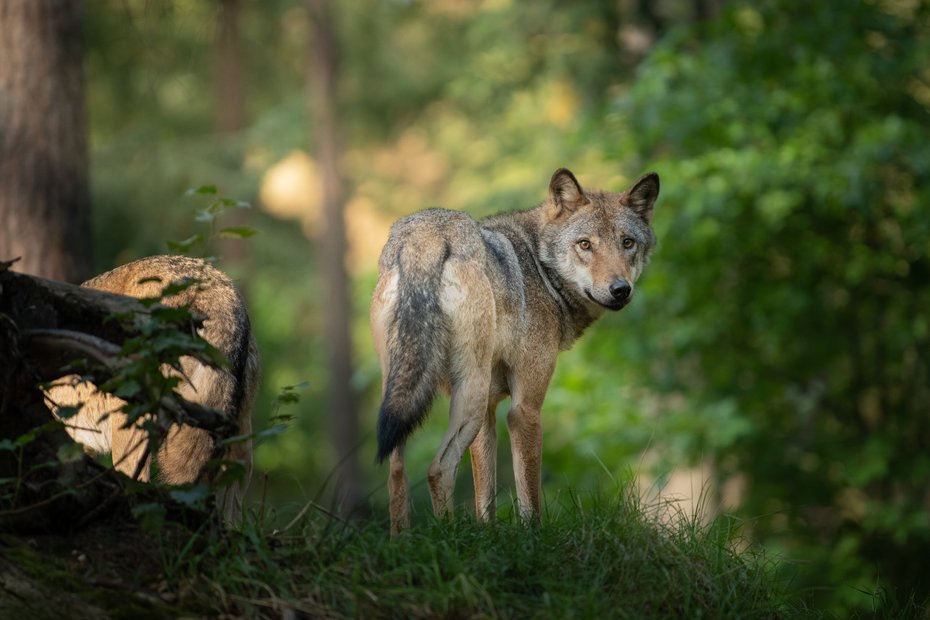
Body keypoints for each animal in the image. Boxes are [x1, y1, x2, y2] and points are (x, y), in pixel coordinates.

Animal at [370, 167, 660, 532]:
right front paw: (533, 539)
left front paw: (487, 534)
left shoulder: (490, 412)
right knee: (438, 468)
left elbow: (486, 498)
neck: (540, 267)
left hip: (406, 395)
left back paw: (402, 539)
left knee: (396, 472)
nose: (620, 289)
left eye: (627, 243)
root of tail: (427, 235)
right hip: (470, 395)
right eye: (585, 244)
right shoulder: (524, 409)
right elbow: (529, 497)